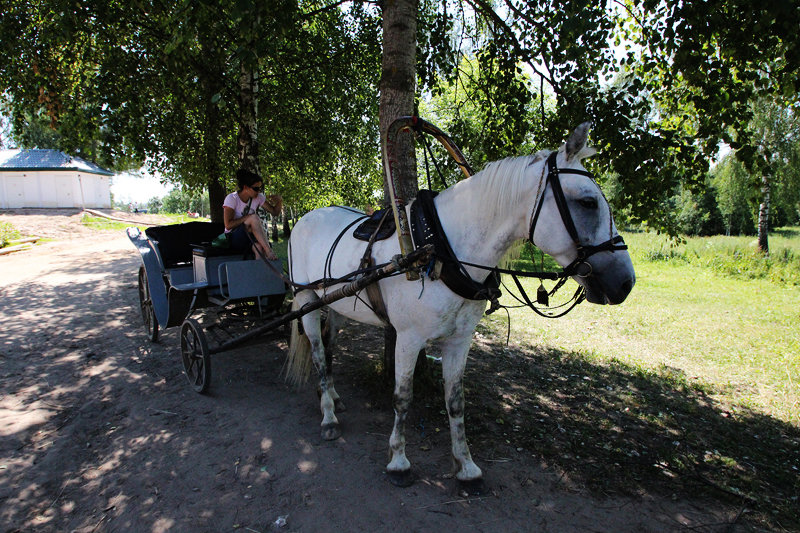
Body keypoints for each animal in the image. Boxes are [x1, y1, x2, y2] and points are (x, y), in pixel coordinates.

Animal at [284, 123, 636, 490]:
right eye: (588, 202)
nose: (625, 282)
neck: (440, 249)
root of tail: (306, 217)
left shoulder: (459, 340)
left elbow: (455, 401)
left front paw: (465, 465)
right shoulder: (408, 339)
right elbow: (402, 397)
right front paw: (398, 460)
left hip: (336, 306)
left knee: (330, 348)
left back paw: (332, 396)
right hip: (307, 302)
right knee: (319, 355)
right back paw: (328, 415)